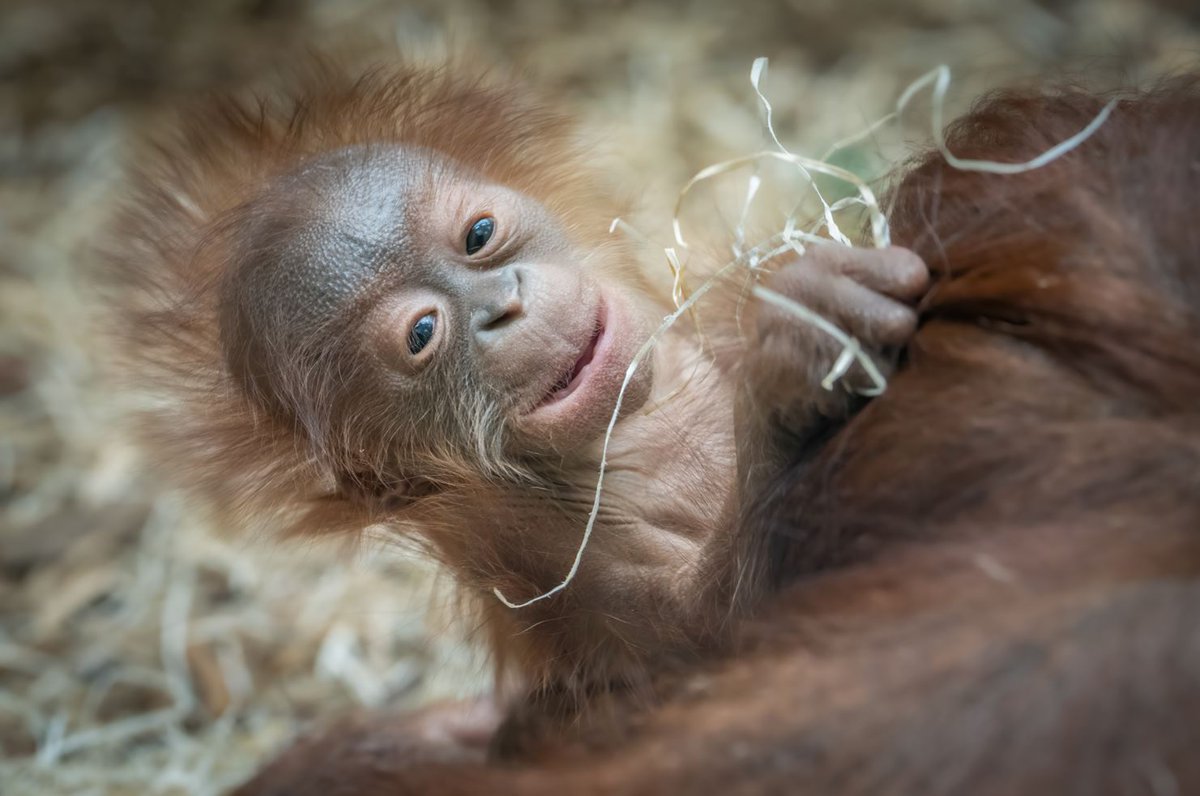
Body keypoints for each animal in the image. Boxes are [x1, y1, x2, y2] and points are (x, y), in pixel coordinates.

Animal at [226, 75, 1200, 795]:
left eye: (478, 235)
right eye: (424, 335)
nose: (502, 307)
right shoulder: (555, 558)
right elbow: (713, 632)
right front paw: (798, 344)